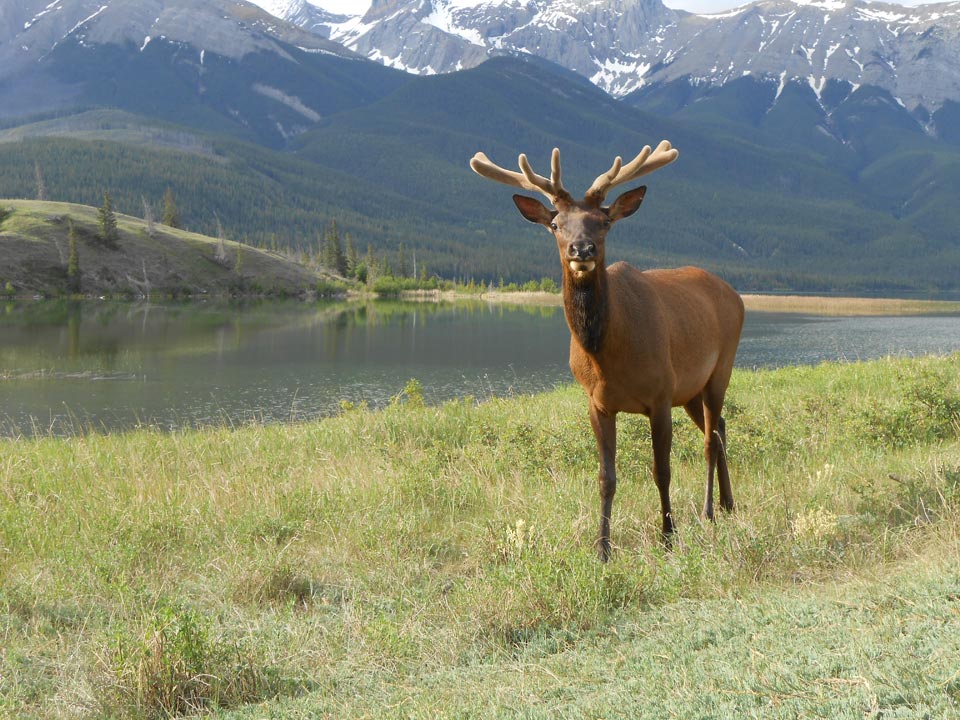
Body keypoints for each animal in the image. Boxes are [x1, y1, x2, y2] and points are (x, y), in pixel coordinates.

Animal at [470, 139, 744, 556]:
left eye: (603, 222)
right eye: (555, 225)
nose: (581, 249)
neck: (609, 356)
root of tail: (737, 296)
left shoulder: (660, 395)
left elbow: (661, 470)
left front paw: (668, 535)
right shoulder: (597, 402)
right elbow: (606, 477)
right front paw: (602, 547)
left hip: (719, 370)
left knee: (710, 440)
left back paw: (710, 510)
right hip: (690, 389)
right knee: (721, 428)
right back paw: (729, 504)